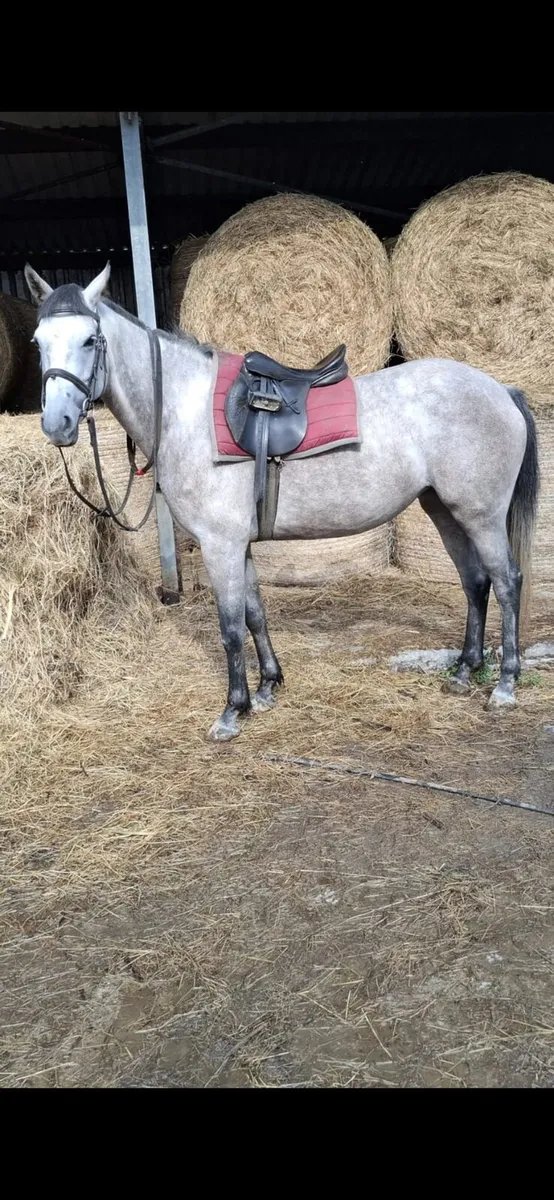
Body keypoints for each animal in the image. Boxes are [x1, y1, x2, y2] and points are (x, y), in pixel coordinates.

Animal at [24, 262, 539, 742]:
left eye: (90, 339)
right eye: (37, 341)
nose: (57, 424)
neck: (186, 412)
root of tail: (502, 391)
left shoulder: (220, 544)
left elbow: (231, 627)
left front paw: (232, 711)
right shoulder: (239, 544)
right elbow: (255, 613)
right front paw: (267, 687)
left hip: (481, 515)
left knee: (506, 582)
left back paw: (504, 685)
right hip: (444, 510)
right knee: (474, 582)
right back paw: (463, 672)